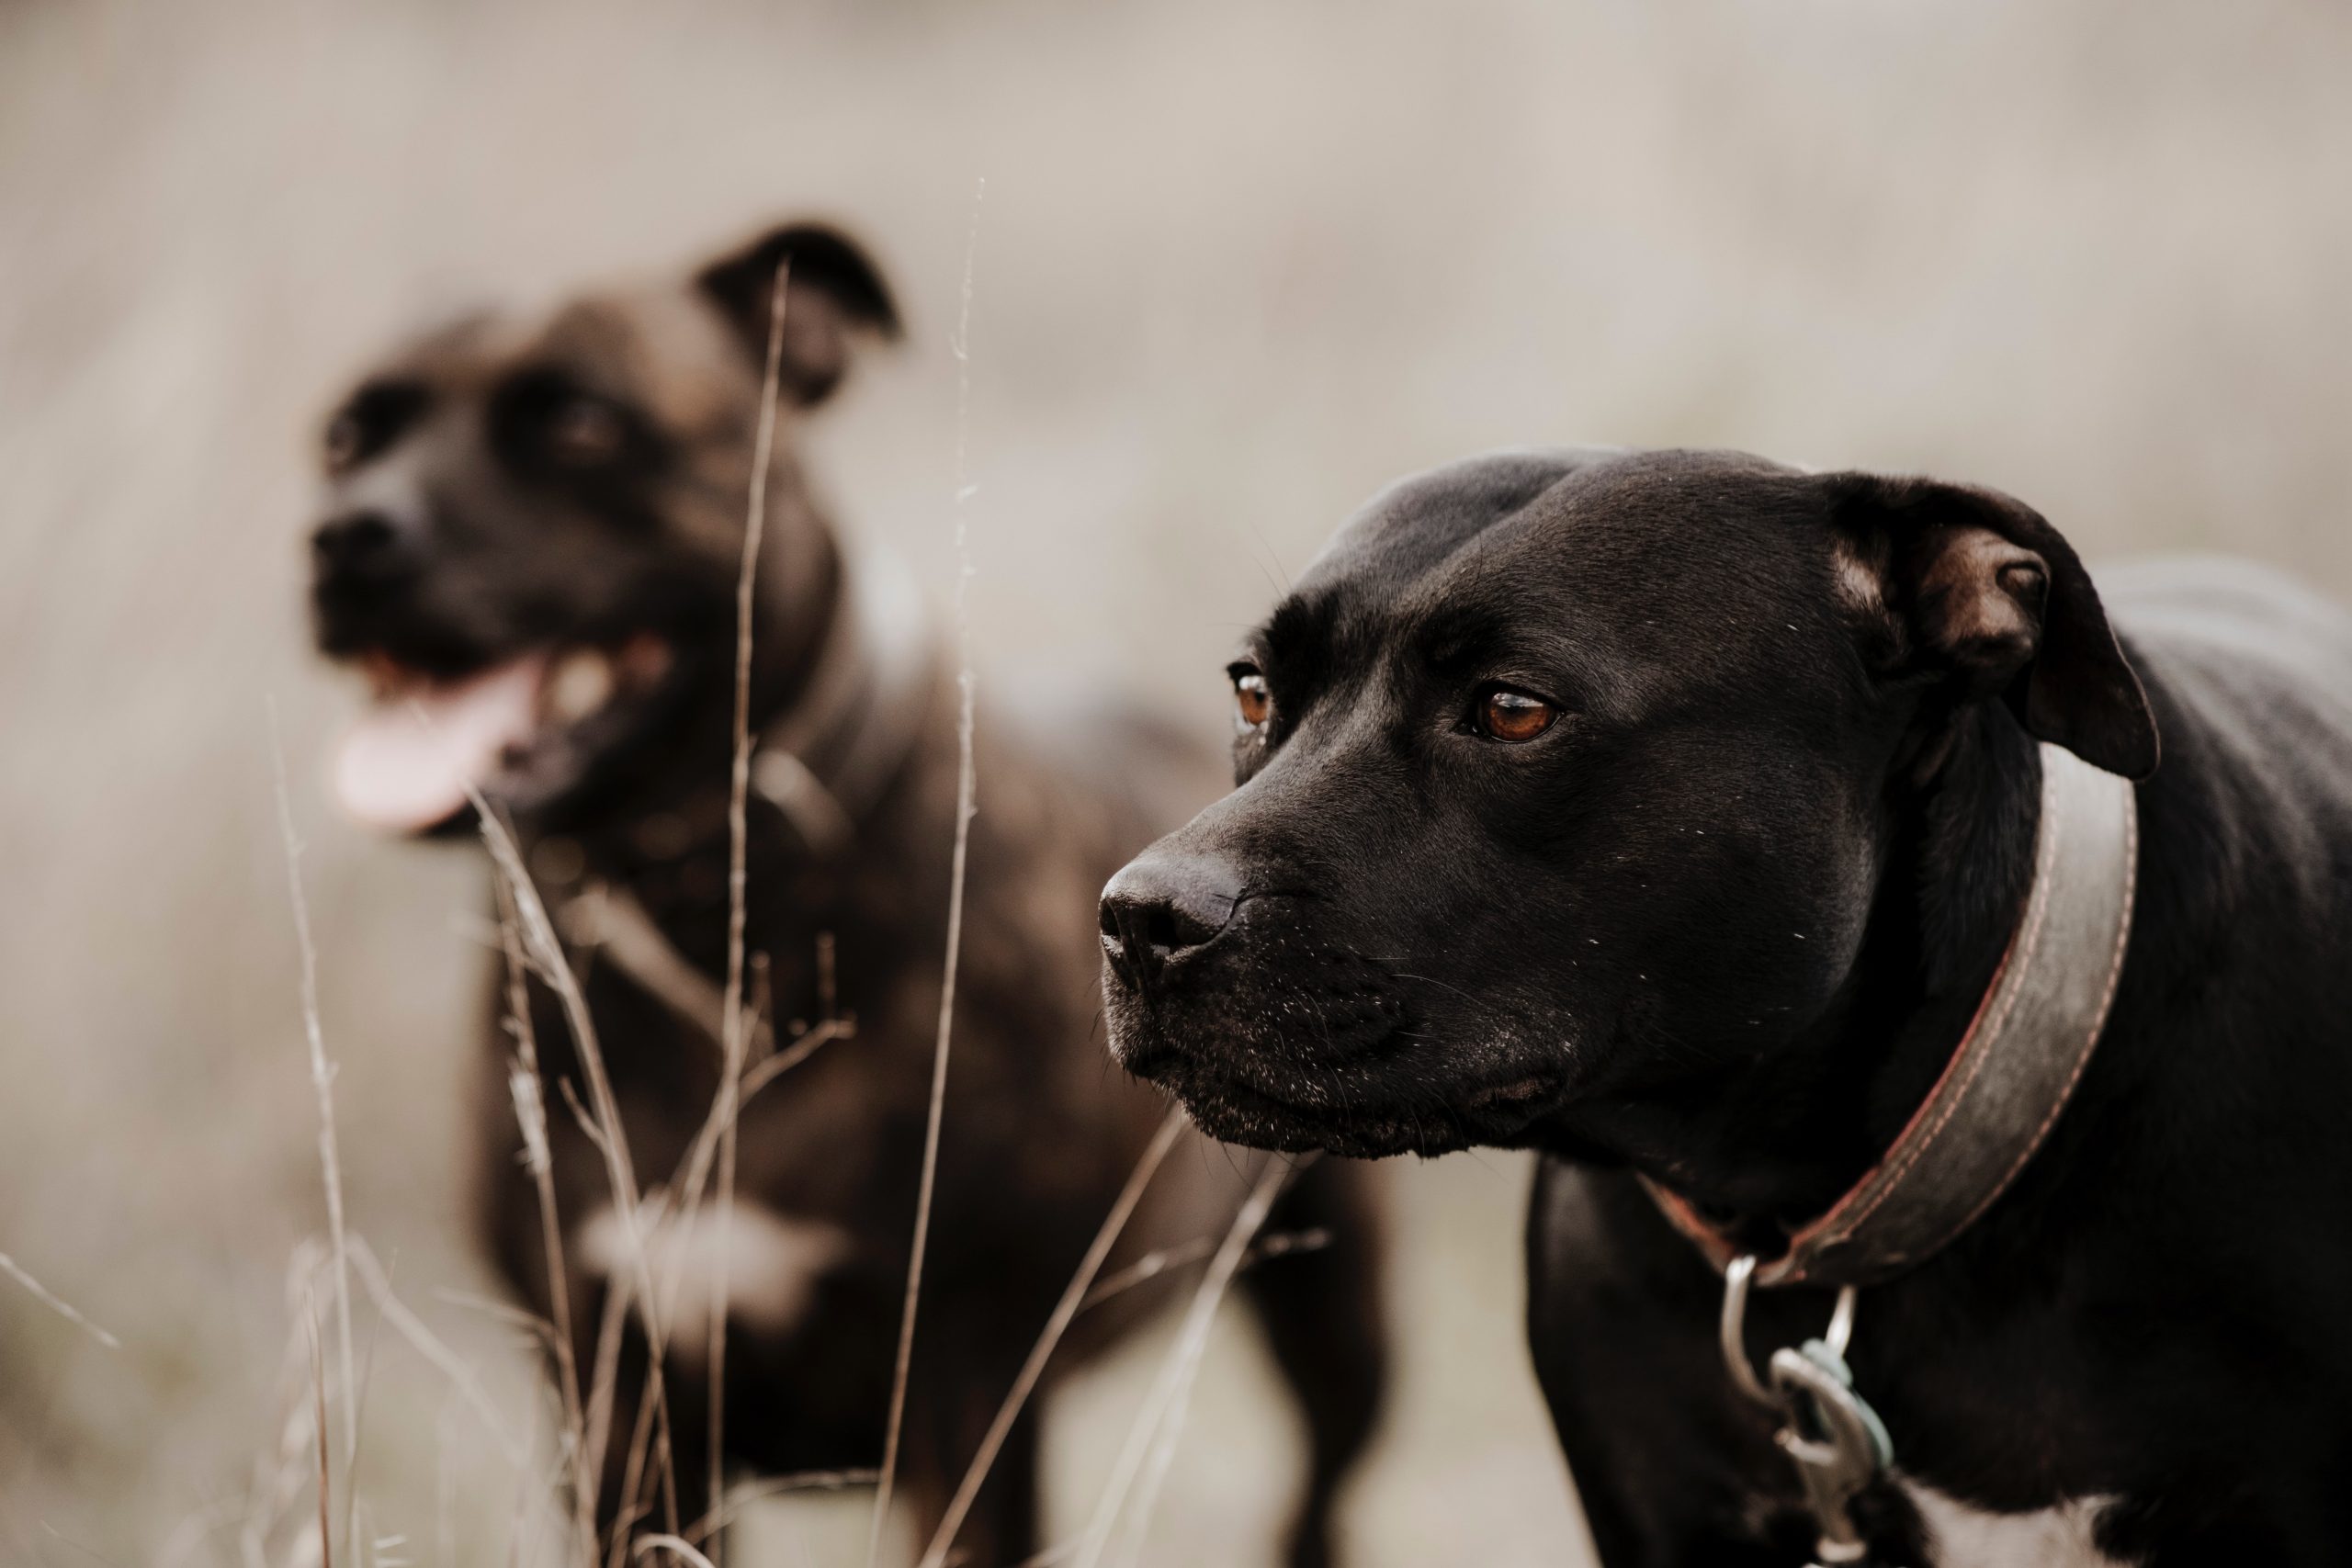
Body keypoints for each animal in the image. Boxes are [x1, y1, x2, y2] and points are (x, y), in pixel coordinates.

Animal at [303, 223, 1383, 1568]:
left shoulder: (963, 1401)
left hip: (1337, 1311)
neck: (710, 915)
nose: (346, 537)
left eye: (582, 422)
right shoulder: (624, 1416)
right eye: (344, 436)